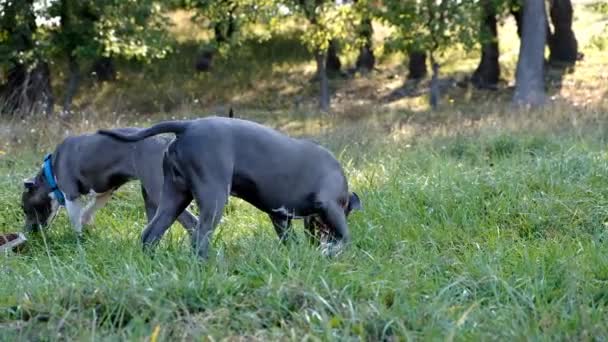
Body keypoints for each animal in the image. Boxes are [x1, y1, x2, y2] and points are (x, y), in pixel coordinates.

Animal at [20, 128, 197, 235]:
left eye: (24, 208)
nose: (27, 233)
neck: (50, 173)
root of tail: (169, 140)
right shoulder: (105, 192)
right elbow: (88, 210)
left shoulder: (71, 195)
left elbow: (75, 220)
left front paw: (77, 238)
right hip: (150, 194)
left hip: (158, 191)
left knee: (191, 222)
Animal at [97, 116, 358, 258]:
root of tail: (187, 126)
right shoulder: (331, 206)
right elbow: (346, 237)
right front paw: (330, 251)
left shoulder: (279, 217)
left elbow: (290, 241)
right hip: (213, 197)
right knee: (199, 238)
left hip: (174, 197)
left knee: (150, 234)